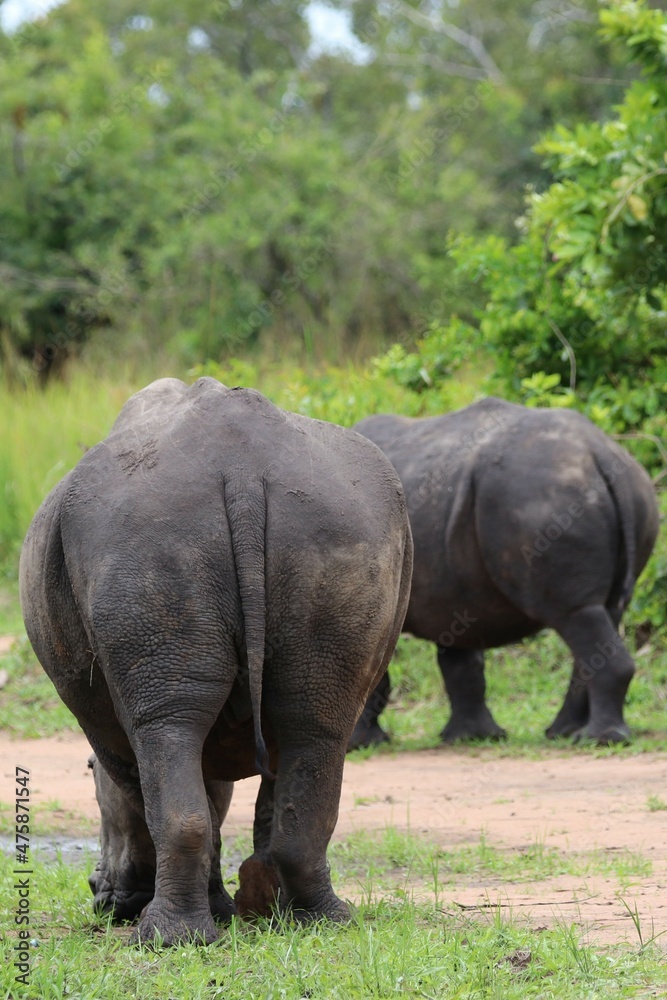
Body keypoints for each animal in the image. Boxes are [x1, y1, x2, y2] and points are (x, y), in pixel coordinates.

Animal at [20, 377, 412, 945]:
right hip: (342, 523)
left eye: (87, 777)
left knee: (168, 728)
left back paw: (164, 941)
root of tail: (242, 468)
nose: (99, 894)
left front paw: (218, 911)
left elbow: (147, 796)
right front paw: (242, 909)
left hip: (146, 533)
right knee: (316, 724)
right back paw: (323, 922)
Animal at [349, 397, 658, 749]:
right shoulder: (451, 590)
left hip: (540, 497)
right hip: (622, 493)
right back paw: (564, 734)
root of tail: (602, 453)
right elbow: (461, 661)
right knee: (601, 614)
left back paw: (598, 740)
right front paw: (471, 737)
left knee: (575, 612)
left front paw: (361, 744)